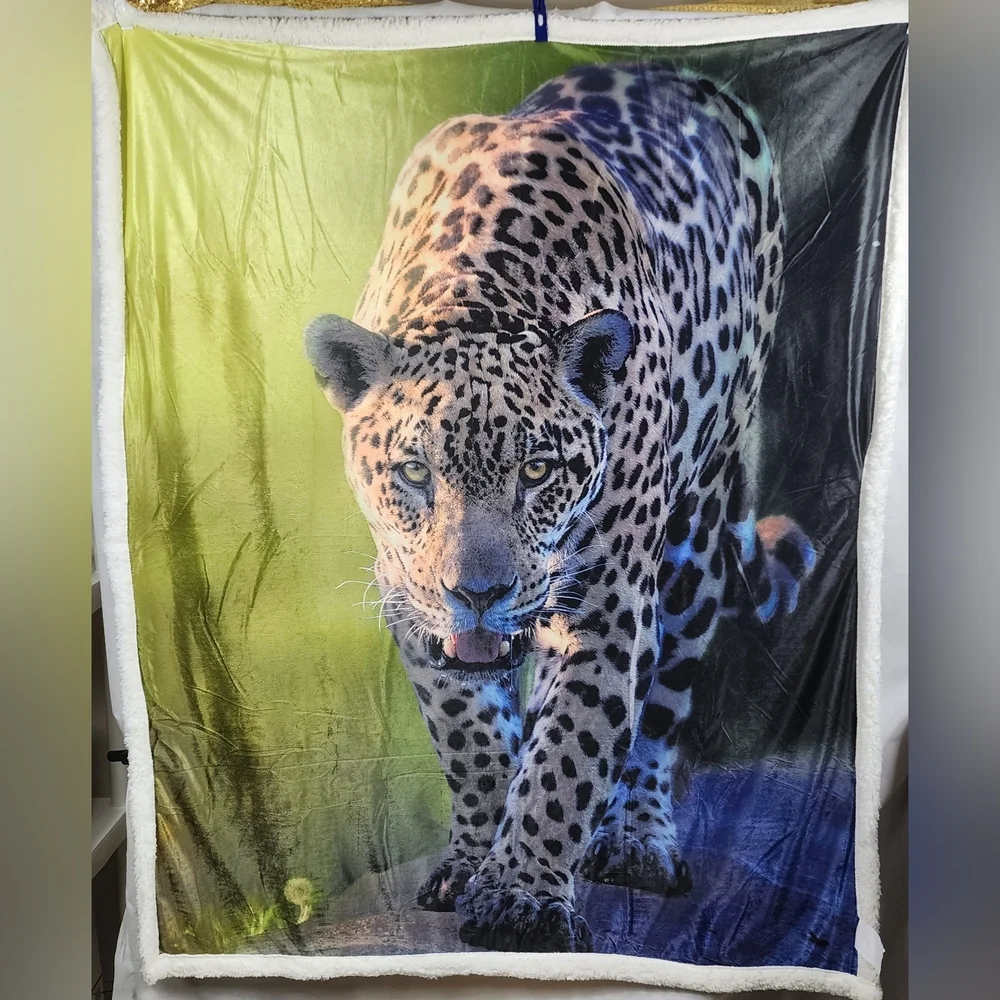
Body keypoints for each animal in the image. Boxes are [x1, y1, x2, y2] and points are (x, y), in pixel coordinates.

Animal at [305, 63, 815, 953]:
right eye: (413, 472)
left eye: (539, 469)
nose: (477, 593)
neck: (473, 295)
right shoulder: (408, 596)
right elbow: (471, 738)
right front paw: (479, 857)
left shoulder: (607, 601)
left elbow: (573, 747)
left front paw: (523, 897)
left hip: (695, 531)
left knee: (660, 705)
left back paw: (636, 837)